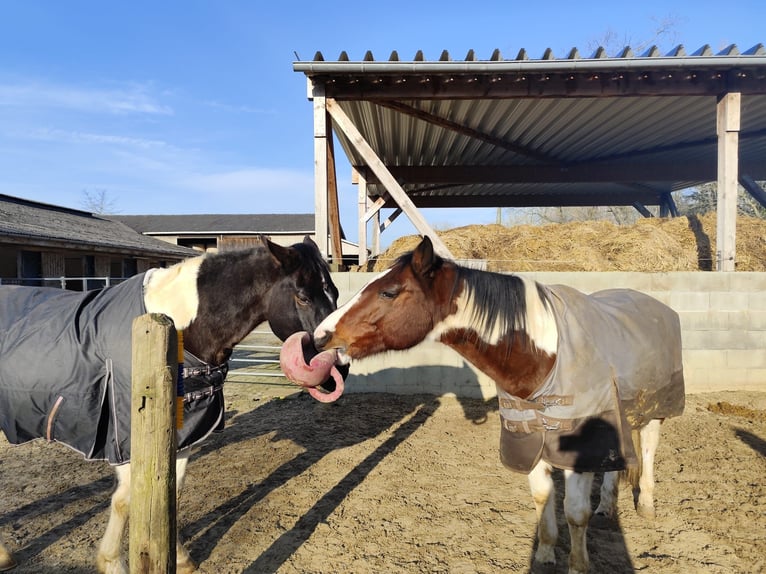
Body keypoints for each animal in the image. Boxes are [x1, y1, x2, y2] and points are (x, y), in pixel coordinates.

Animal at [0, 235, 344, 574]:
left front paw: (179, 557)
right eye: (303, 297)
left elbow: (171, 492)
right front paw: (112, 562)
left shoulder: (182, 433)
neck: (177, 332)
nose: (336, 372)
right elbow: (125, 499)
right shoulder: (124, 438)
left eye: (336, 293)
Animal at [305, 235, 685, 574]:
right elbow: (542, 498)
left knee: (647, 453)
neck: (543, 355)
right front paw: (544, 555)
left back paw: (646, 506)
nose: (320, 335)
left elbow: (576, 513)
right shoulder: (529, 437)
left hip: (655, 413)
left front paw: (577, 566)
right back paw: (608, 506)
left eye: (389, 291)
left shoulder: (580, 447)